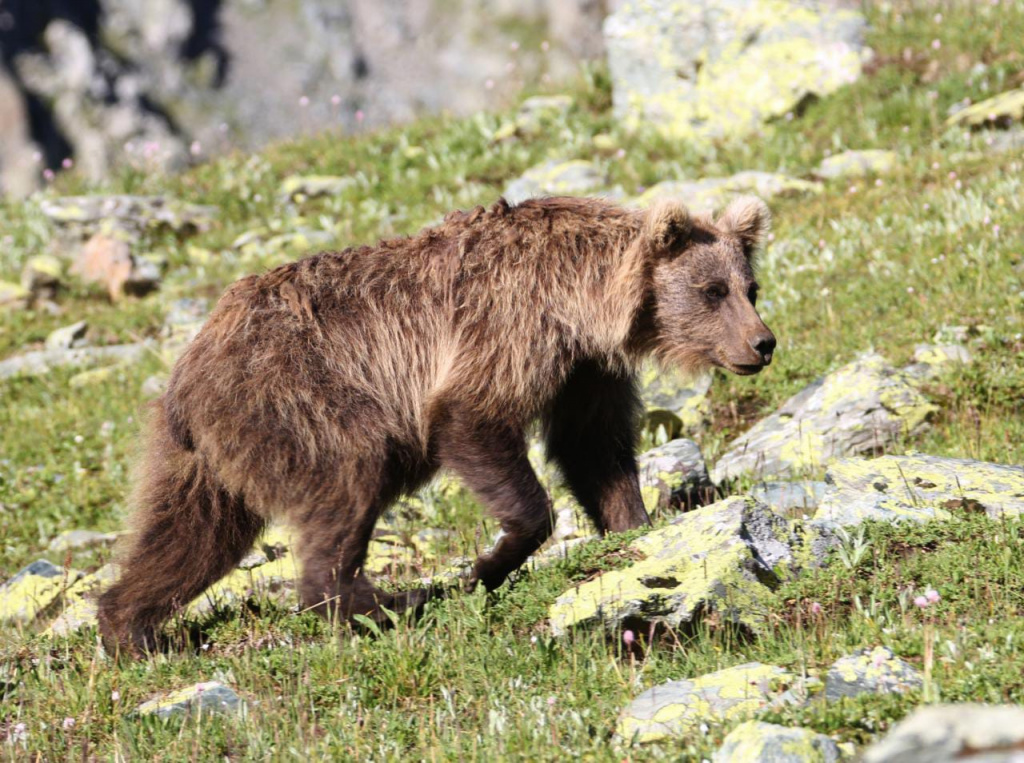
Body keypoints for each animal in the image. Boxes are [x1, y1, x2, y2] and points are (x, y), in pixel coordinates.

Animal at [99, 193, 774, 651]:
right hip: (297, 397)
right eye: (713, 290)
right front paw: (492, 561)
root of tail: (189, 367)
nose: (762, 343)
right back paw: (381, 602)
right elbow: (470, 418)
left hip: (208, 452)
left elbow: (593, 448)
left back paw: (130, 628)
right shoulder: (510, 325)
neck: (583, 298)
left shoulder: (583, 369)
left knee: (190, 534)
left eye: (751, 287)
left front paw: (633, 526)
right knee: (349, 477)